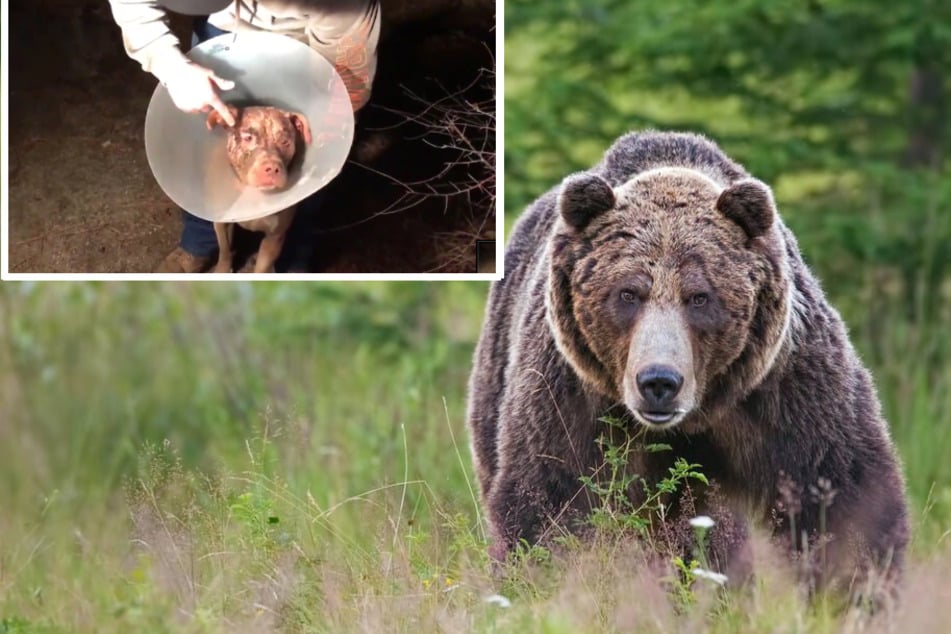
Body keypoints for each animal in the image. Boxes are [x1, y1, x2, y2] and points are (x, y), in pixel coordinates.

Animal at [207, 104, 312, 272]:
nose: (272, 168)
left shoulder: (274, 238)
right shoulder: (221, 224)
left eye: (285, 141)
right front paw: (222, 270)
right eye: (248, 138)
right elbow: (224, 251)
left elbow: (261, 268)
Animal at [472, 130, 912, 592]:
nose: (659, 382)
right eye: (628, 293)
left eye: (699, 297)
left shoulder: (785, 388)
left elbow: (841, 497)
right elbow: (548, 503)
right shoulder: (573, 397)